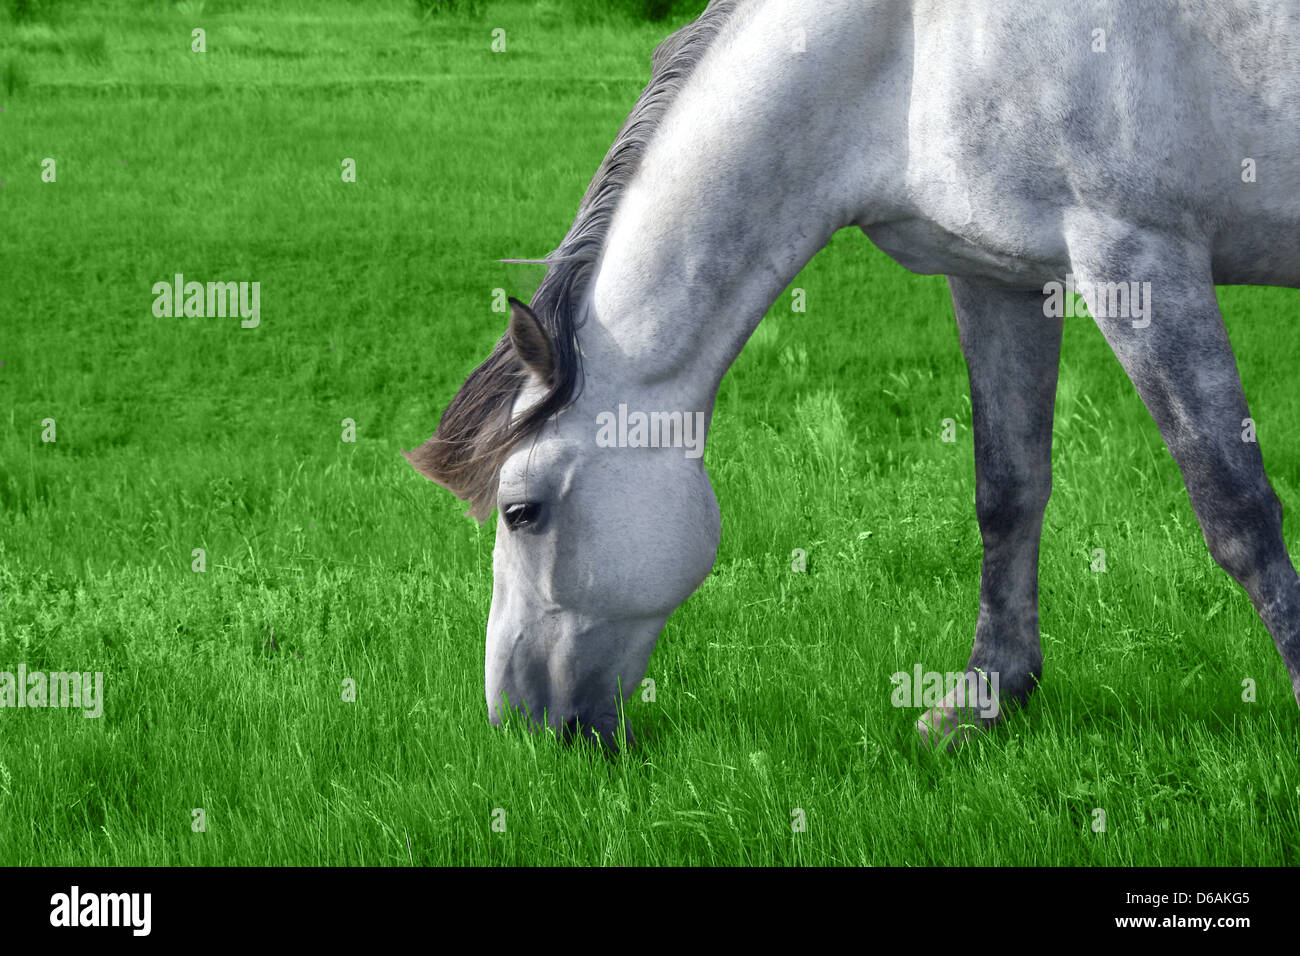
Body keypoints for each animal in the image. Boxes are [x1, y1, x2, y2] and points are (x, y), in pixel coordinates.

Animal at [405, 0, 1300, 748]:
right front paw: (984, 698)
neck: (911, 41)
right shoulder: (996, 280)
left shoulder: (1137, 260)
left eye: (522, 512)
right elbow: (1007, 494)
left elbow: (1237, 510)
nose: (518, 724)